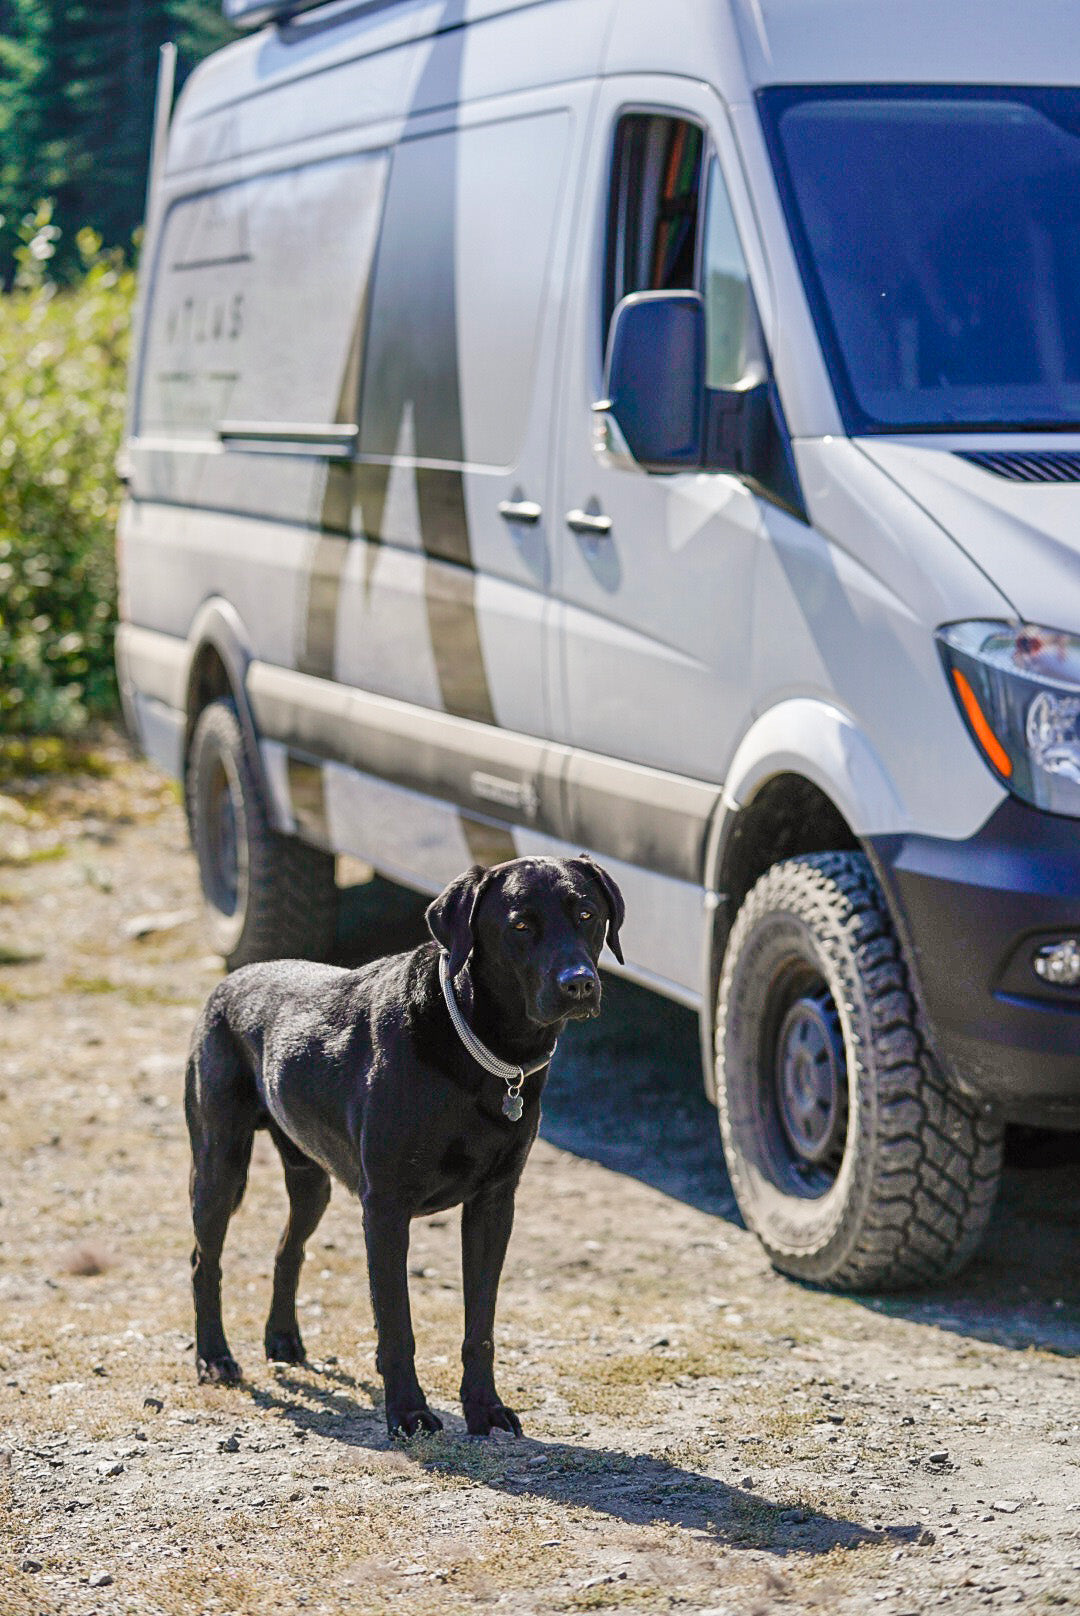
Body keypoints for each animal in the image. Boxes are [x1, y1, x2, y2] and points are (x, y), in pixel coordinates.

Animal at [185, 859, 624, 1441]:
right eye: (521, 925)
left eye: (587, 915)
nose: (579, 983)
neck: (484, 1051)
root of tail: (228, 981)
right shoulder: (387, 1210)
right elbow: (397, 1324)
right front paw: (409, 1413)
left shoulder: (493, 1205)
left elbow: (480, 1326)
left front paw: (484, 1409)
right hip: (220, 1167)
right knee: (203, 1260)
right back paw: (214, 1357)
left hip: (312, 1179)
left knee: (287, 1249)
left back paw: (282, 1339)